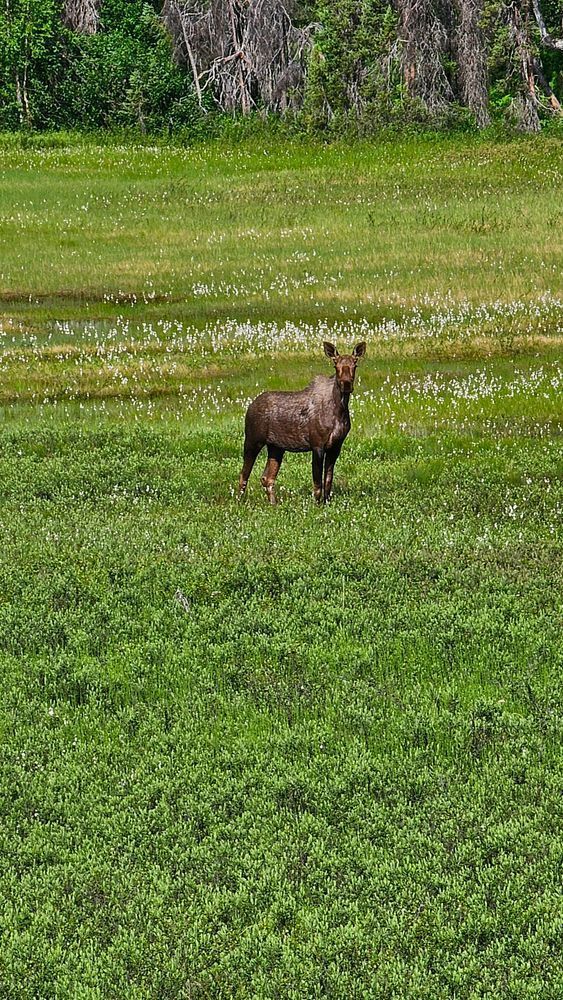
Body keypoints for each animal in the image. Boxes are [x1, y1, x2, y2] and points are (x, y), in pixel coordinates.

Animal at [238, 341, 367, 504]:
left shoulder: (336, 446)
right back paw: (239, 502)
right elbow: (317, 484)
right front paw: (317, 505)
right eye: (335, 364)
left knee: (267, 478)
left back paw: (274, 504)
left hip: (276, 447)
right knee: (243, 475)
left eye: (355, 364)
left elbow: (328, 481)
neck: (340, 409)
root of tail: (250, 405)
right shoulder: (317, 445)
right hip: (253, 440)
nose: (346, 384)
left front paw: (326, 503)